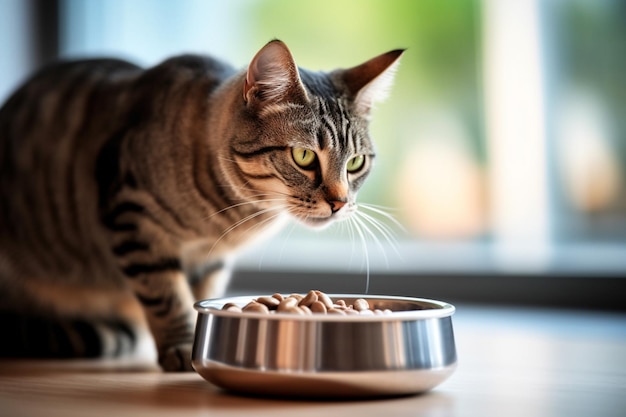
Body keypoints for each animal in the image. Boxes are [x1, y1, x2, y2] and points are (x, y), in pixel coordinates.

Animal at [0, 39, 402, 370]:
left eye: (355, 163)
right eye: (304, 156)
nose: (340, 202)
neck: (230, 215)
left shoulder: (212, 259)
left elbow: (201, 295)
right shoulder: (133, 218)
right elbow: (166, 294)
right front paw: (181, 347)